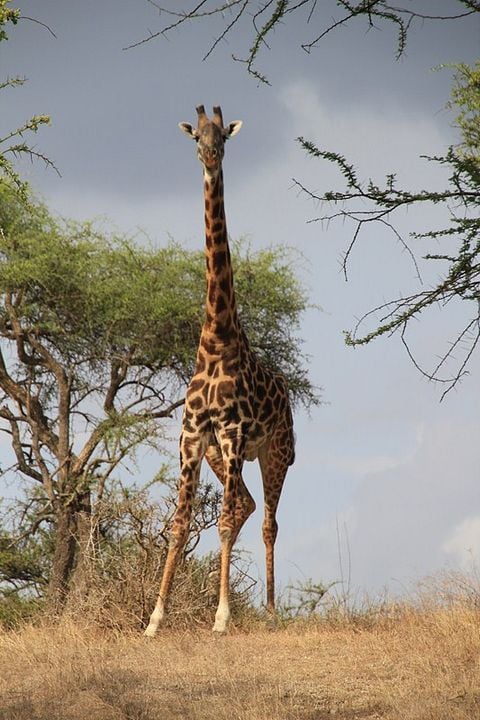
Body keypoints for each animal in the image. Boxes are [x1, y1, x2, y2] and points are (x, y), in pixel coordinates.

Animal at [144, 105, 294, 636]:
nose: (210, 157)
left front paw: (223, 617)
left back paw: (269, 610)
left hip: (276, 452)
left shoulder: (231, 433)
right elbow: (180, 523)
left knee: (267, 519)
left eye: (224, 136)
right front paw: (155, 619)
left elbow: (224, 522)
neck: (214, 340)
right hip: (221, 455)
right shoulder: (193, 436)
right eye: (197, 137)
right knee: (247, 504)